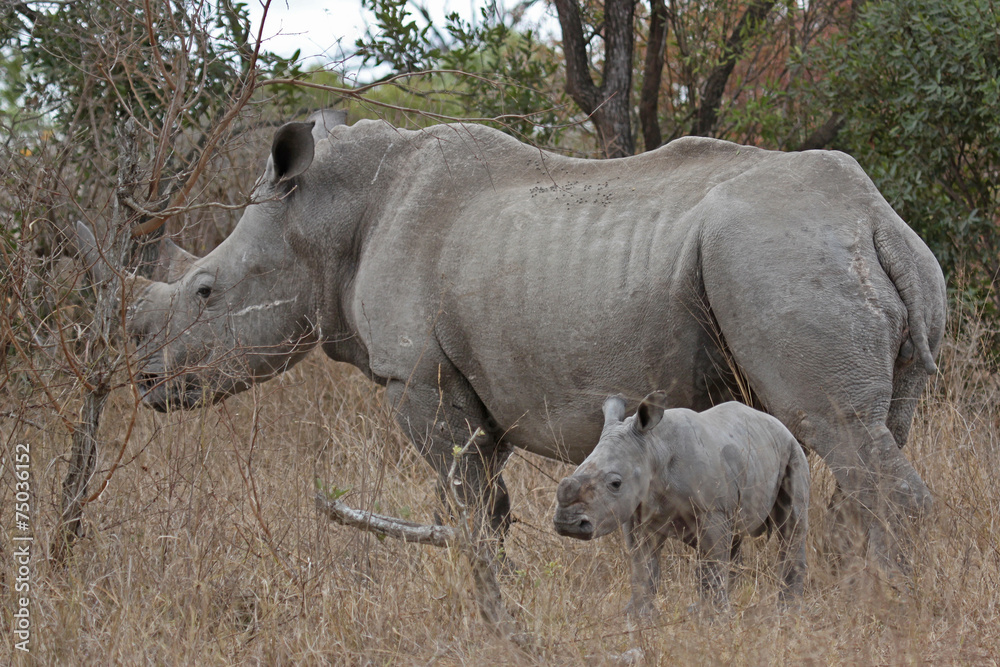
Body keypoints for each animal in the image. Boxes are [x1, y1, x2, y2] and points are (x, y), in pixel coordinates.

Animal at [76, 110, 946, 574]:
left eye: (205, 291)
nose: (147, 381)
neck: (327, 217)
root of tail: (875, 219)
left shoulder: (417, 378)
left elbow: (467, 507)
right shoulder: (468, 384)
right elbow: (486, 507)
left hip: (777, 254)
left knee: (838, 430)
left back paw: (878, 597)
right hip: (862, 263)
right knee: (874, 435)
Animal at [554, 394, 809, 614]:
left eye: (615, 484)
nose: (568, 524)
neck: (652, 448)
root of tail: (778, 423)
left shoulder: (711, 511)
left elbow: (710, 562)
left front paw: (713, 619)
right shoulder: (637, 513)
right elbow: (642, 564)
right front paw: (637, 615)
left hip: (793, 451)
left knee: (791, 526)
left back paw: (788, 611)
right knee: (734, 537)